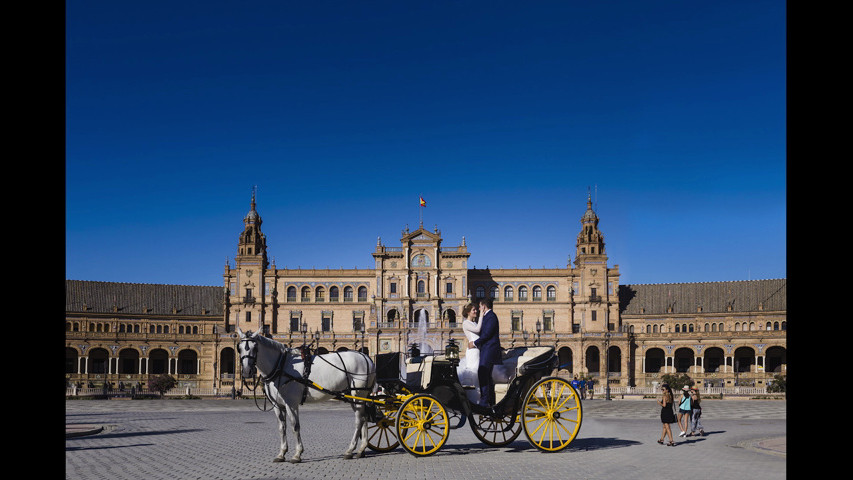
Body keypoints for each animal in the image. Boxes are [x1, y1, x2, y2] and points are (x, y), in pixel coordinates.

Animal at [236, 328, 376, 464]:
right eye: (239, 348)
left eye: (255, 347)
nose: (247, 371)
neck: (281, 366)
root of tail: (366, 357)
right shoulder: (277, 406)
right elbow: (282, 428)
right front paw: (281, 454)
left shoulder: (291, 404)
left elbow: (295, 426)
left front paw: (297, 454)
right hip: (354, 397)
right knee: (364, 418)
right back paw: (361, 450)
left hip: (358, 394)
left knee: (358, 420)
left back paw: (350, 450)